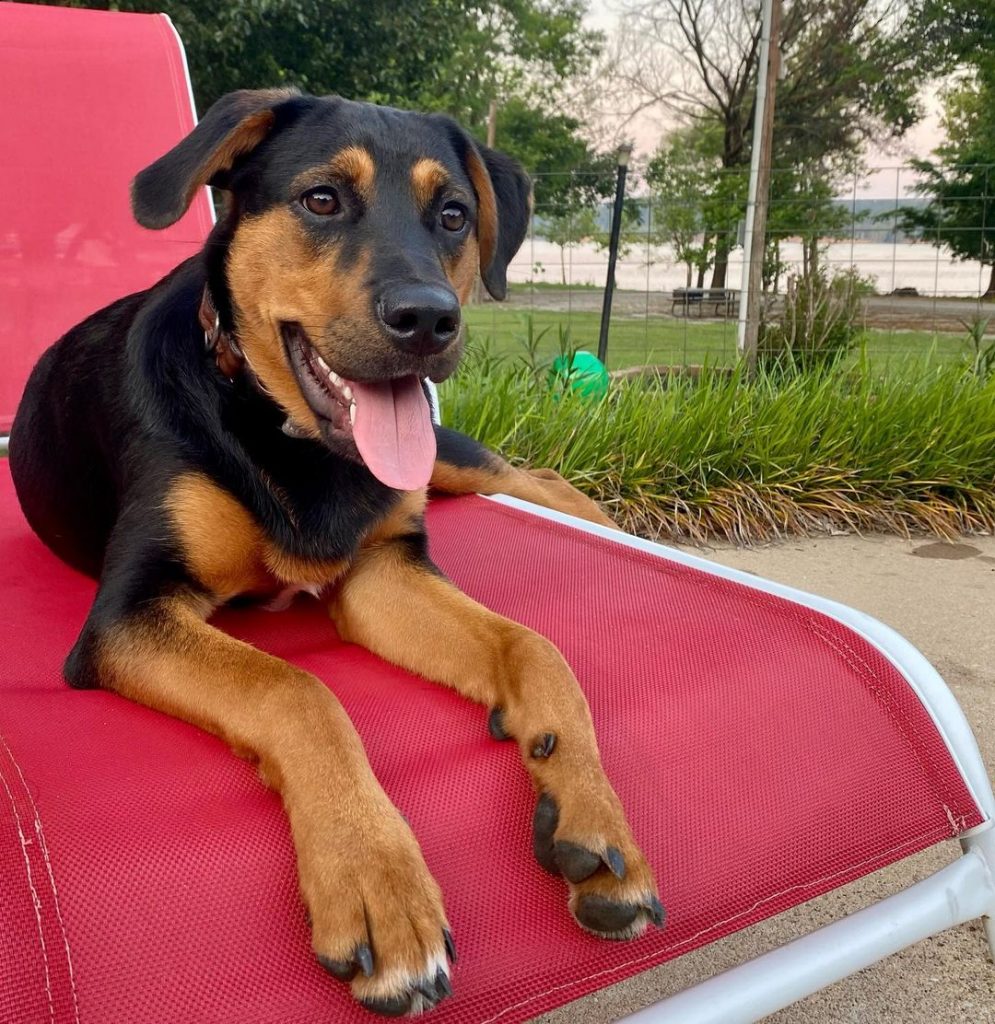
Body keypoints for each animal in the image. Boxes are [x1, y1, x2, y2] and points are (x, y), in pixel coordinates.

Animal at [7, 90, 663, 1015]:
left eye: (452, 215)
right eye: (321, 199)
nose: (427, 320)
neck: (285, 431)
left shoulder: (384, 567)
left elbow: (536, 647)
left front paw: (596, 818)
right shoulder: (130, 612)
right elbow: (296, 689)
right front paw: (375, 881)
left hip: (440, 447)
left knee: (528, 472)